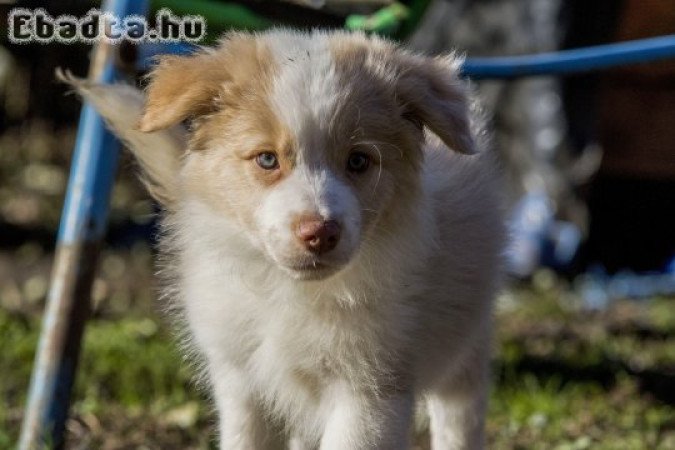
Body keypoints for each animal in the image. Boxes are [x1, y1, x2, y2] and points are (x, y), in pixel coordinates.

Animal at [64, 29, 508, 448]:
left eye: (359, 161)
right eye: (267, 159)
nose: (320, 233)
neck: (287, 292)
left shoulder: (371, 392)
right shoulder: (242, 383)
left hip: (467, 346)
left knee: (459, 418)